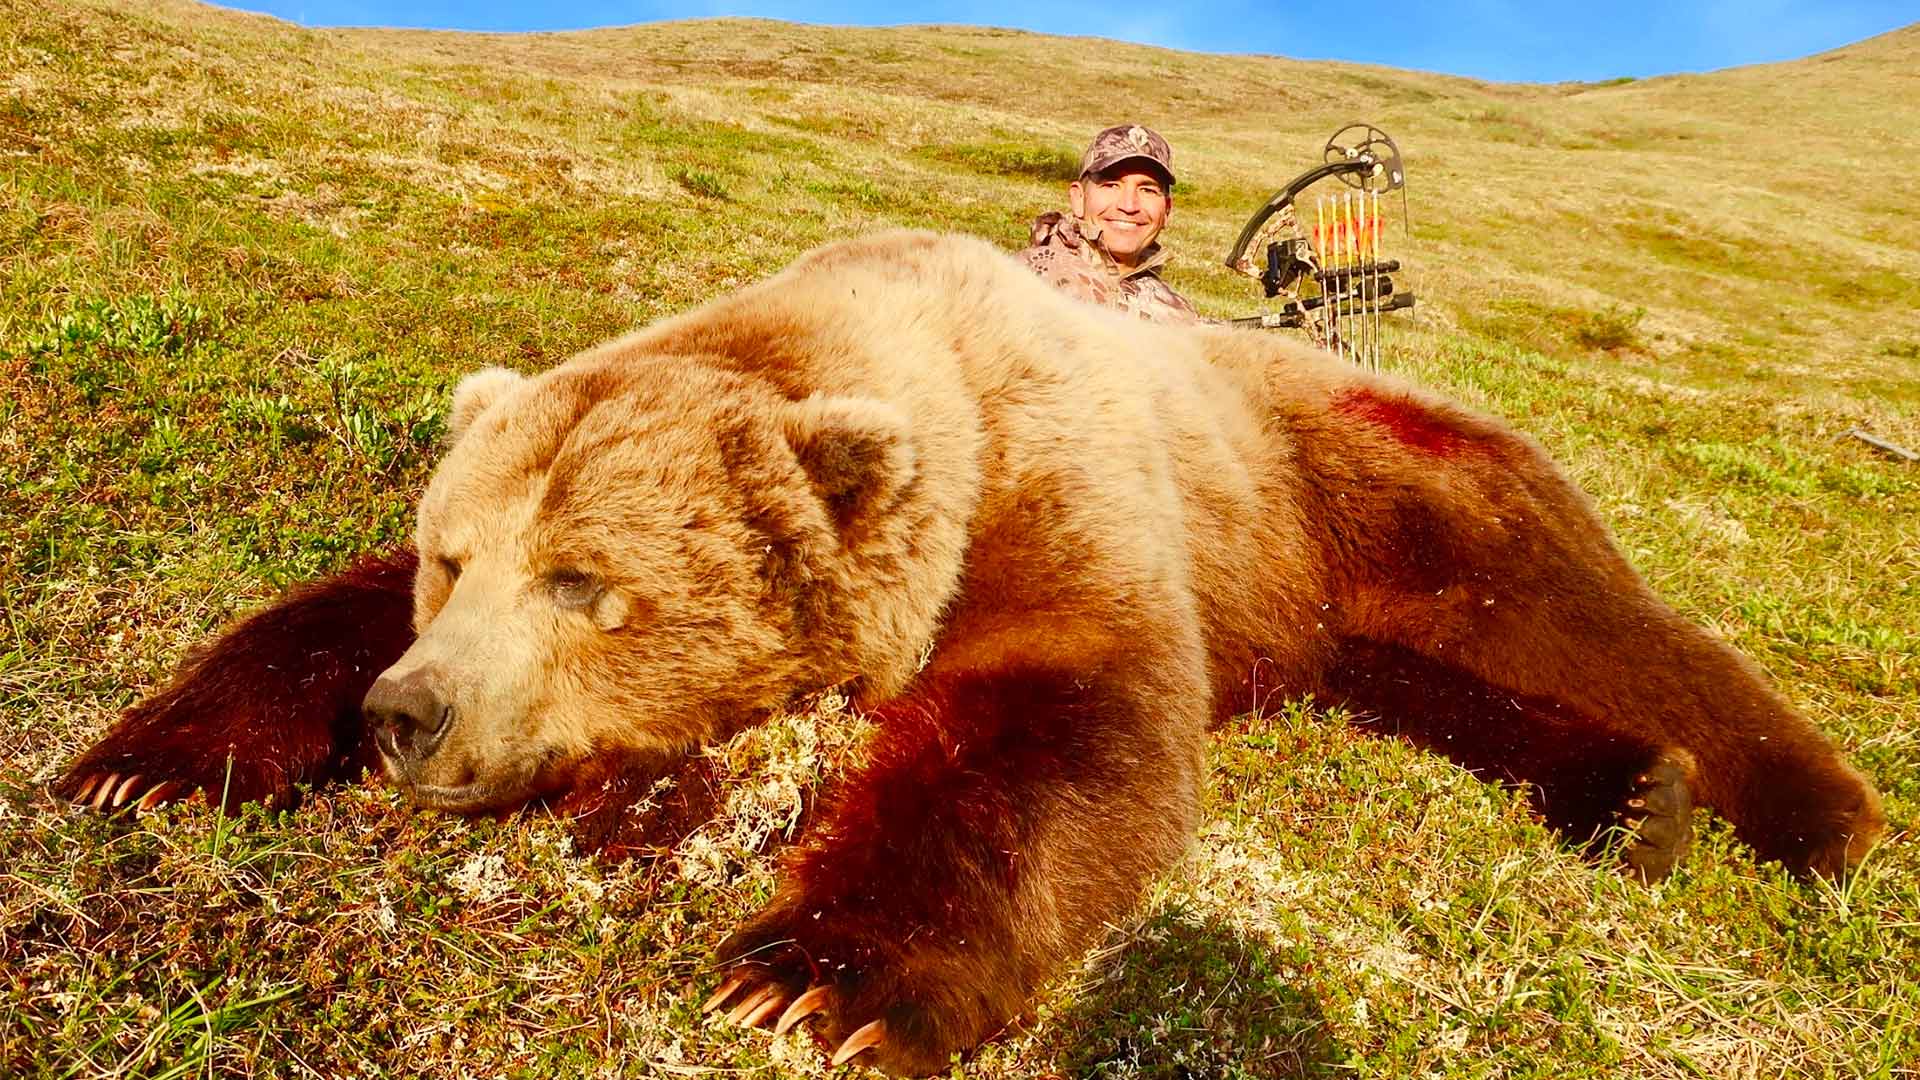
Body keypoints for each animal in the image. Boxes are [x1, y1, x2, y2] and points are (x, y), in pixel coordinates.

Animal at [59, 230, 1883, 1075]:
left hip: (1375, 491)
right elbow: (314, 612)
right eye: (459, 555)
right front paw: (142, 760)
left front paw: (810, 976)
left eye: (587, 582)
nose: (411, 722)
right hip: (1319, 611)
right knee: (1441, 684)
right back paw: (1629, 798)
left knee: (1594, 627)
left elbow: (1057, 731)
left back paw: (1805, 814)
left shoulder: (1053, 504)